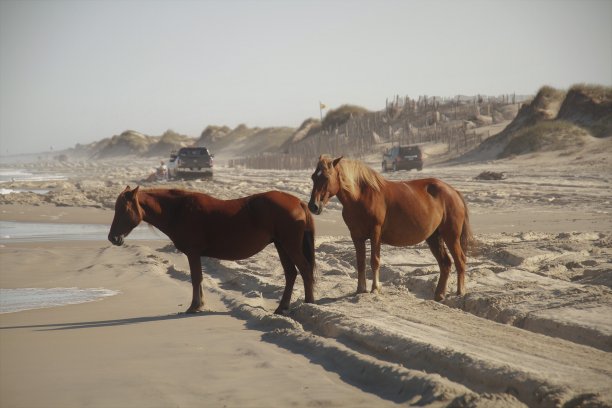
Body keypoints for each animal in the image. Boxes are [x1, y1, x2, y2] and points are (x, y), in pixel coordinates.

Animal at [107, 186, 316, 314]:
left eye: (124, 210)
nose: (112, 238)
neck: (178, 211)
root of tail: (297, 202)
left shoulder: (193, 252)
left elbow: (196, 278)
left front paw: (195, 306)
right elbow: (198, 278)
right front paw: (199, 304)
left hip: (289, 245)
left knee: (305, 270)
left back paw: (309, 303)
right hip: (281, 245)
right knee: (291, 273)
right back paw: (282, 308)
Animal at [310, 156, 474, 300]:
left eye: (326, 177)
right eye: (313, 177)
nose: (313, 206)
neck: (360, 196)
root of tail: (453, 192)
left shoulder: (375, 233)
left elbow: (374, 260)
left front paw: (375, 288)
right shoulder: (356, 236)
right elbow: (360, 262)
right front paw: (360, 289)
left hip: (451, 236)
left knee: (460, 261)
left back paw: (460, 292)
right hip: (434, 237)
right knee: (445, 263)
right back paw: (439, 295)